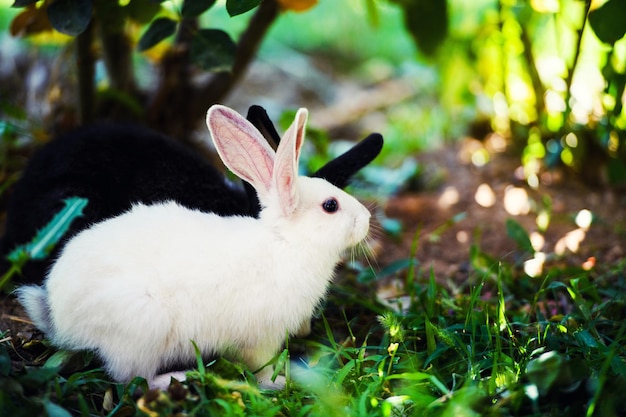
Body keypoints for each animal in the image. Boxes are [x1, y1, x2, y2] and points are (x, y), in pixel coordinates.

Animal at [15, 103, 370, 386]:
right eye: (331, 206)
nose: (366, 218)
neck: (286, 242)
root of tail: (58, 315)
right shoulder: (261, 338)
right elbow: (261, 366)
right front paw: (279, 382)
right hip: (143, 328)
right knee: (132, 377)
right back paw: (180, 377)